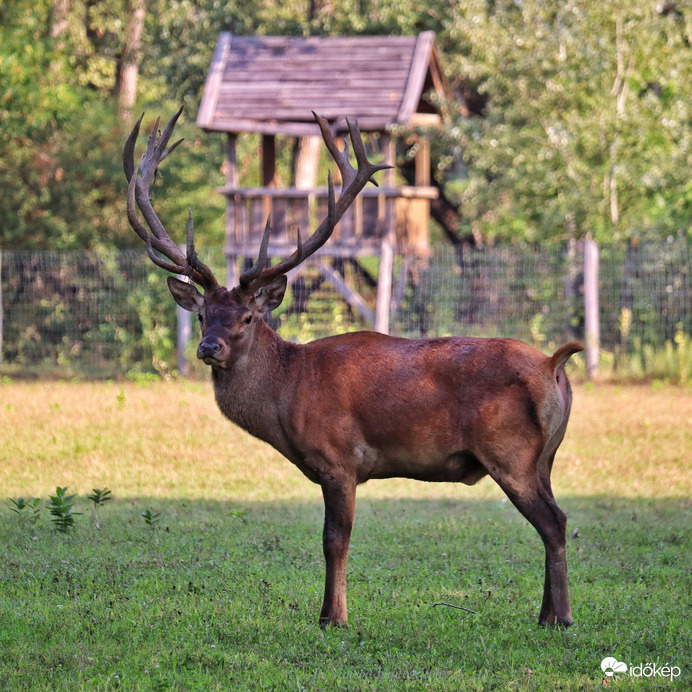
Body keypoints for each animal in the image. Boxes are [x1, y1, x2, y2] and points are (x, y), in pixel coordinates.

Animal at [121, 107, 580, 628]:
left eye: (248, 317)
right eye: (202, 315)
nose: (208, 347)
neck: (287, 397)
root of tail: (553, 364)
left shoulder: (339, 458)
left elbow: (334, 541)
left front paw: (332, 617)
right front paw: (331, 614)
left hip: (510, 451)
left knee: (555, 522)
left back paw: (562, 619)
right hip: (544, 457)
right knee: (554, 518)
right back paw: (545, 614)